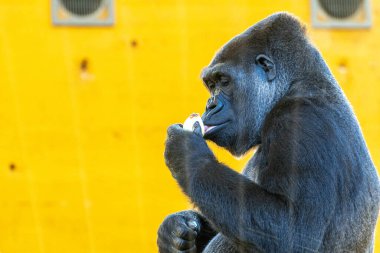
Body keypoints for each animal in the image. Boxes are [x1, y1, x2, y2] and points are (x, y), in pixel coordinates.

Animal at [157, 12, 380, 252]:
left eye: (224, 82)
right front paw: (174, 229)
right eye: (211, 85)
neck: (295, 85)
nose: (210, 105)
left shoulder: (300, 122)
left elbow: (291, 232)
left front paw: (188, 155)